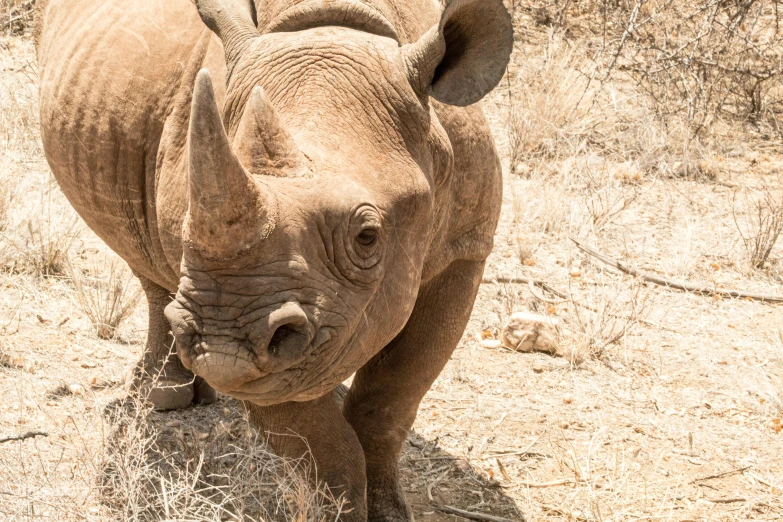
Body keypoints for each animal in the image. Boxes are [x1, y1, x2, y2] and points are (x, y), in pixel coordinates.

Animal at [36, 1, 512, 516]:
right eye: (185, 226)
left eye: (367, 236)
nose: (221, 346)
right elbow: (318, 442)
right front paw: (342, 510)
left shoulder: (465, 250)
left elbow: (389, 402)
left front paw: (387, 512)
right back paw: (165, 394)